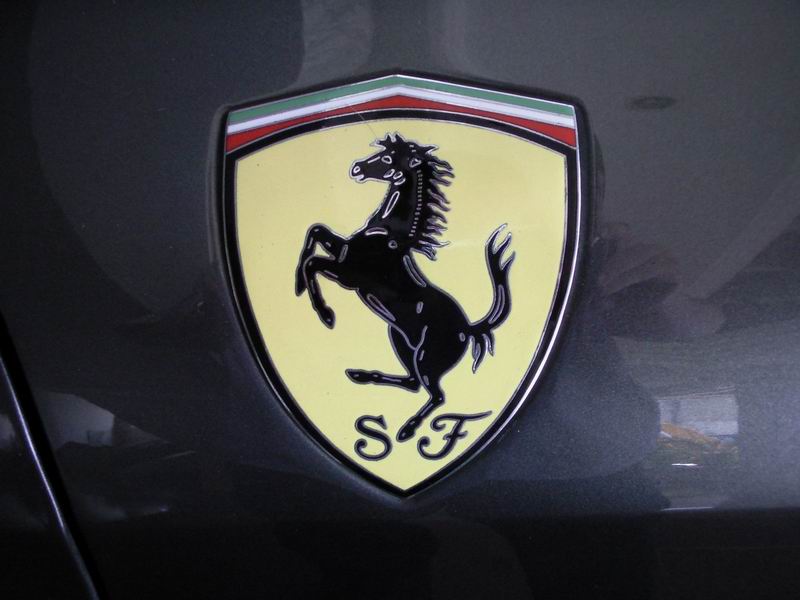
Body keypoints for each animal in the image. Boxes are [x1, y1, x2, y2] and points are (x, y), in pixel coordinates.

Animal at [295, 132, 514, 442]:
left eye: (387, 159)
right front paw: (298, 286)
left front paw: (326, 315)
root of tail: (468, 328)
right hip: (399, 339)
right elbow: (315, 233)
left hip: (427, 356)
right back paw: (363, 376)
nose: (356, 169)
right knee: (413, 382)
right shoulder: (343, 253)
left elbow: (313, 262)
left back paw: (407, 429)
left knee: (436, 394)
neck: (388, 231)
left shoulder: (348, 275)